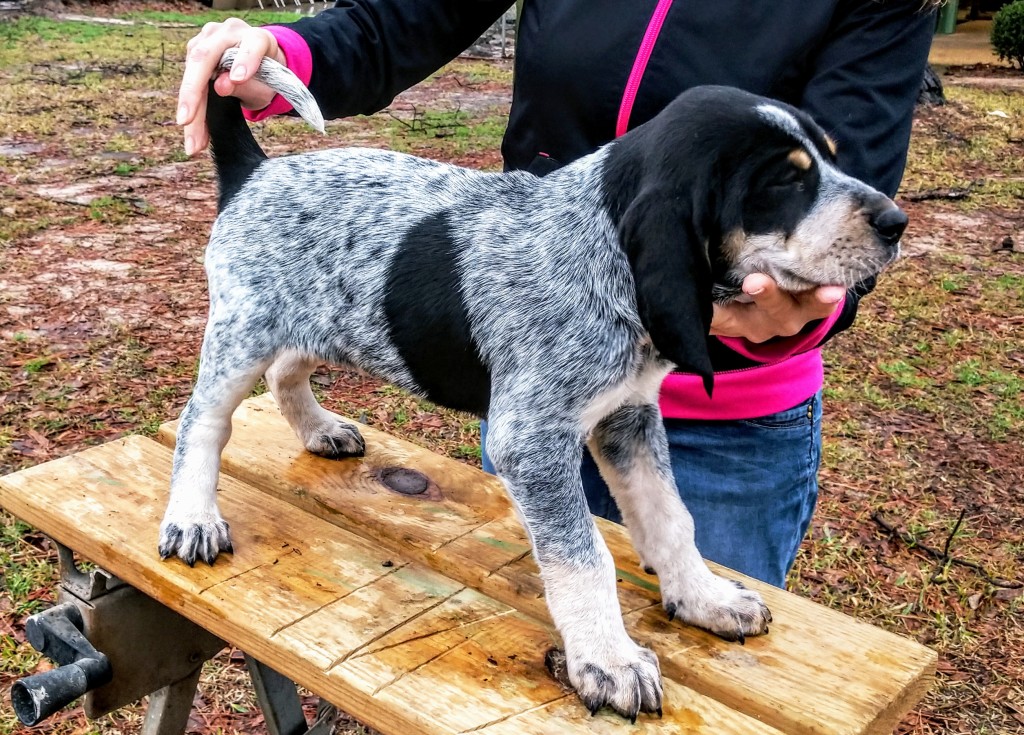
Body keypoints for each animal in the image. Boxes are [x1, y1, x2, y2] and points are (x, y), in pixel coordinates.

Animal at [161, 51, 913, 720]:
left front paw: (703, 598)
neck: (602, 253)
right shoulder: (534, 441)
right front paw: (608, 658)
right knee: (203, 422)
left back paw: (320, 429)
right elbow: (585, 558)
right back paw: (193, 516)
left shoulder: (629, 416)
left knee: (288, 372)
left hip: (313, 322)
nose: (896, 221)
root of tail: (256, 171)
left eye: (832, 158)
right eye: (783, 183)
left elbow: (672, 518)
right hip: (242, 332)